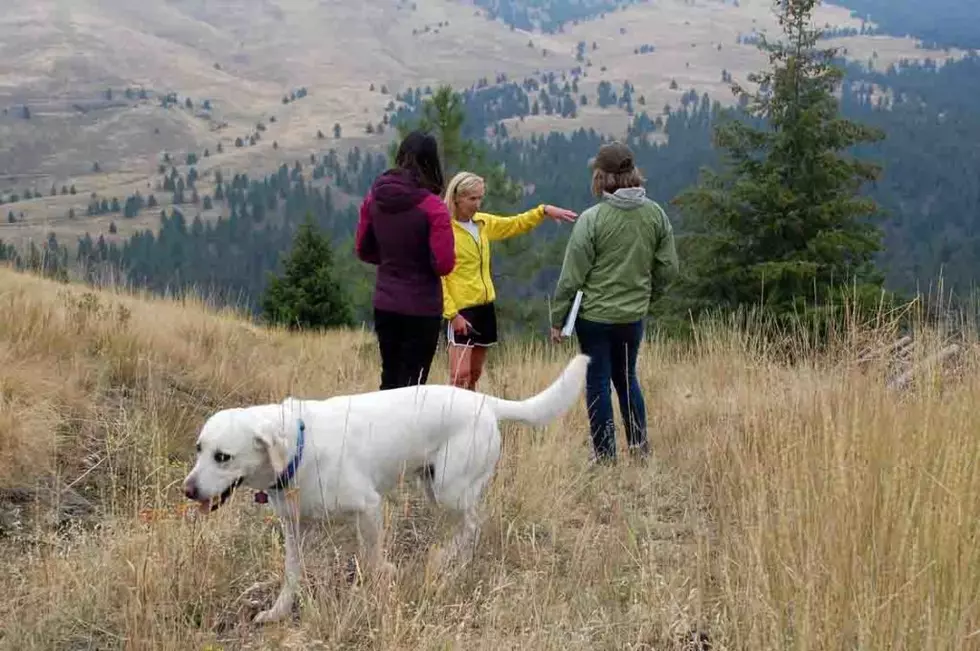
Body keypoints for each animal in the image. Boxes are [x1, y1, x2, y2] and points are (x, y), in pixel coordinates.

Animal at [181, 354, 584, 624]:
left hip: (449, 488)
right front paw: (278, 612)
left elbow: (373, 560)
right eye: (198, 449)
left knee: (474, 523)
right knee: (467, 524)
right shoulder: (295, 528)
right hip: (432, 484)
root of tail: (484, 401)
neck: (300, 448)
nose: (188, 490)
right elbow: (292, 575)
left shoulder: (369, 508)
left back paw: (446, 559)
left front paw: (382, 584)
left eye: (223, 457)